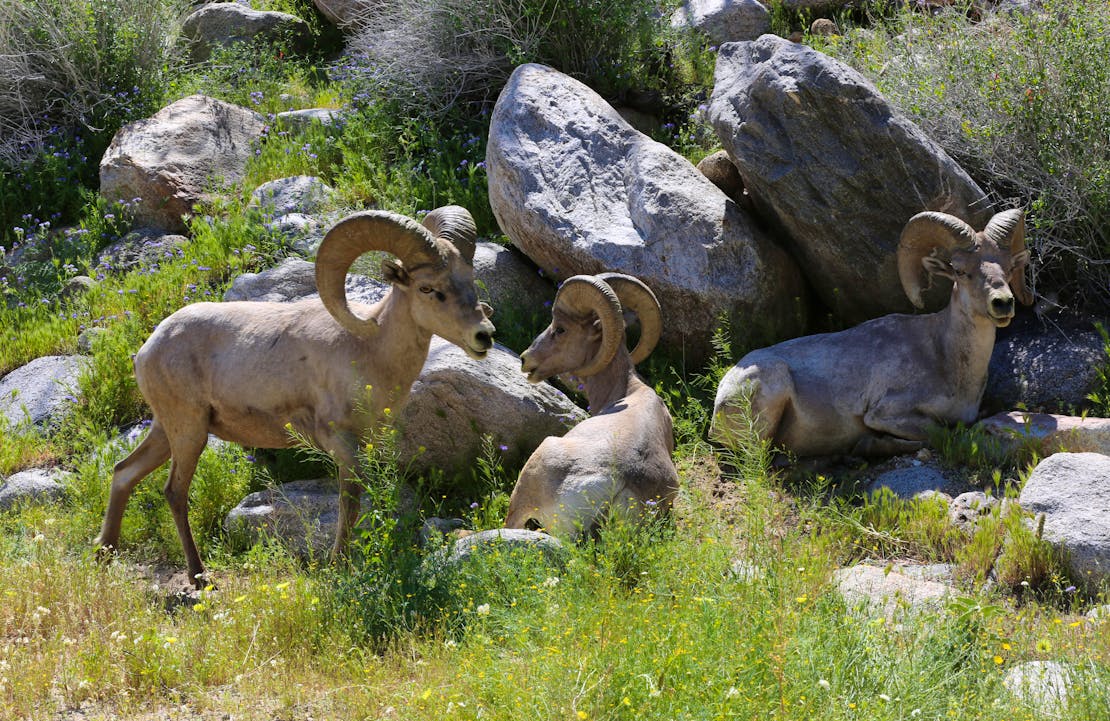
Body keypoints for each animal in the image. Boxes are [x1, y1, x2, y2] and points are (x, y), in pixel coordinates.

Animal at [96, 205, 495, 587]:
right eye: (428, 289)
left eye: (470, 281)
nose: (484, 335)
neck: (368, 349)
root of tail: (147, 349)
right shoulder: (340, 443)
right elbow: (349, 505)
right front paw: (339, 567)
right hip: (189, 433)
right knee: (174, 492)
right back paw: (198, 577)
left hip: (168, 431)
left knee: (123, 472)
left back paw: (105, 554)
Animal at [711, 208, 1032, 459]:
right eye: (961, 271)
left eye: (1008, 267)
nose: (1003, 303)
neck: (947, 359)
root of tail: (723, 392)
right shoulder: (885, 413)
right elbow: (938, 433)